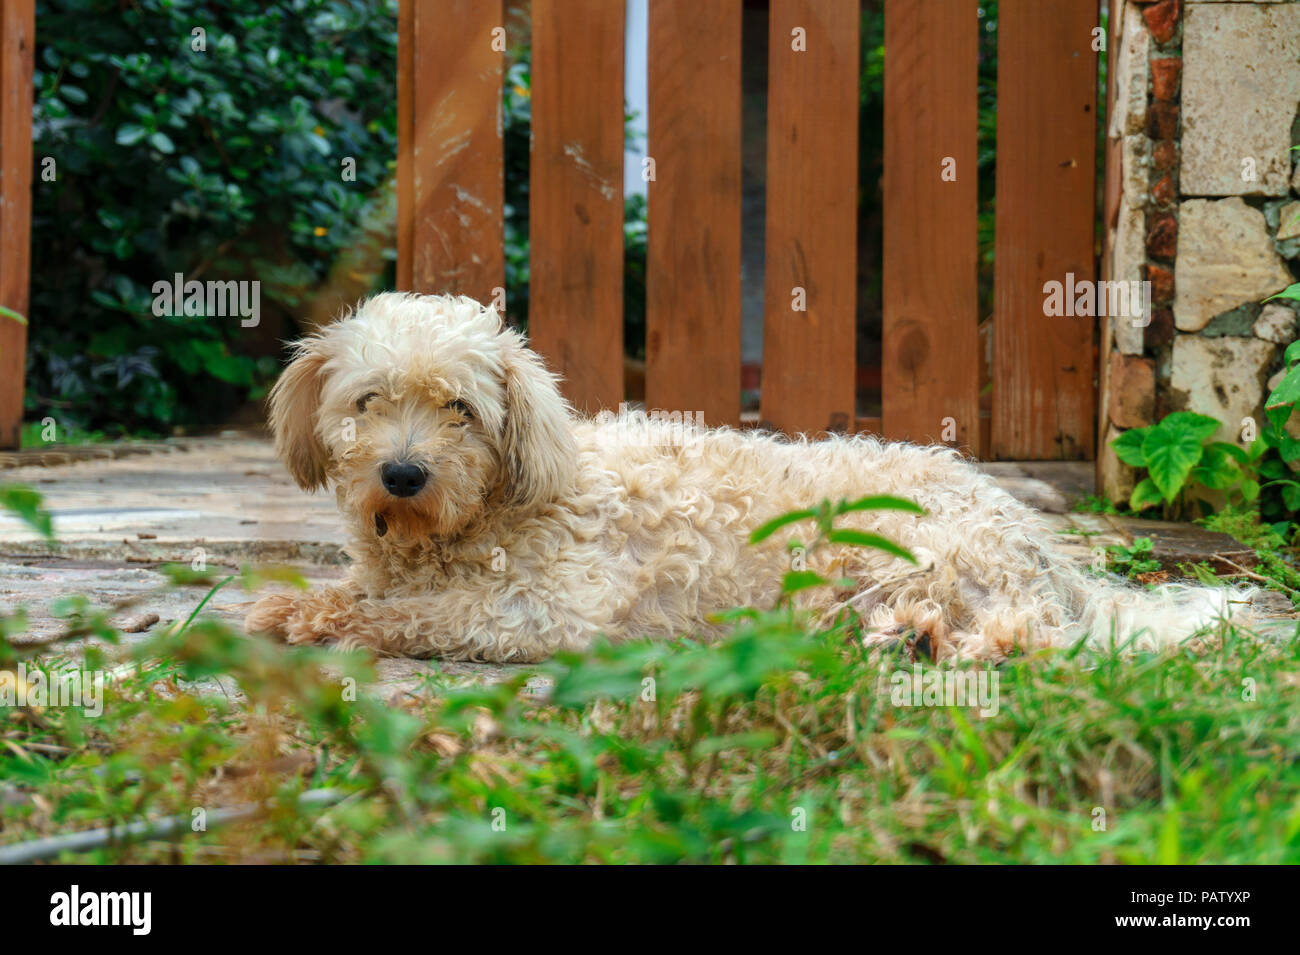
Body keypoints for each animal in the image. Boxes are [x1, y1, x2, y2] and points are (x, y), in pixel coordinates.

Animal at [244, 294, 1248, 660]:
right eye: (368, 400)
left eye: (461, 408)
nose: (403, 473)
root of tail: (1035, 538)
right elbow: (358, 595)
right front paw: (297, 602)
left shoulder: (538, 613)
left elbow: (407, 617)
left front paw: (327, 620)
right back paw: (905, 637)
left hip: (918, 547)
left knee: (1035, 635)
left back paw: (949, 643)